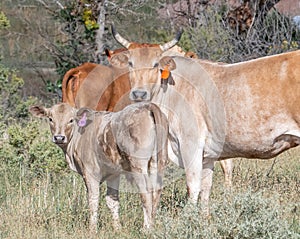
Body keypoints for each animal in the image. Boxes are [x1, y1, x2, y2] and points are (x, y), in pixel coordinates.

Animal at [29, 102, 169, 230]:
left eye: (71, 120)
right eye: (50, 119)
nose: (59, 137)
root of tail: (147, 105)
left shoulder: (90, 172)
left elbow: (93, 199)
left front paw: (92, 229)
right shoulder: (113, 173)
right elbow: (112, 200)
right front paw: (117, 228)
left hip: (138, 165)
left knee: (146, 194)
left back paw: (146, 228)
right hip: (158, 162)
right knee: (156, 192)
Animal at [109, 27, 300, 213]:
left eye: (156, 64)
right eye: (131, 63)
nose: (139, 94)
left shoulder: (191, 145)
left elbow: (193, 187)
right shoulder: (208, 155)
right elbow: (206, 190)